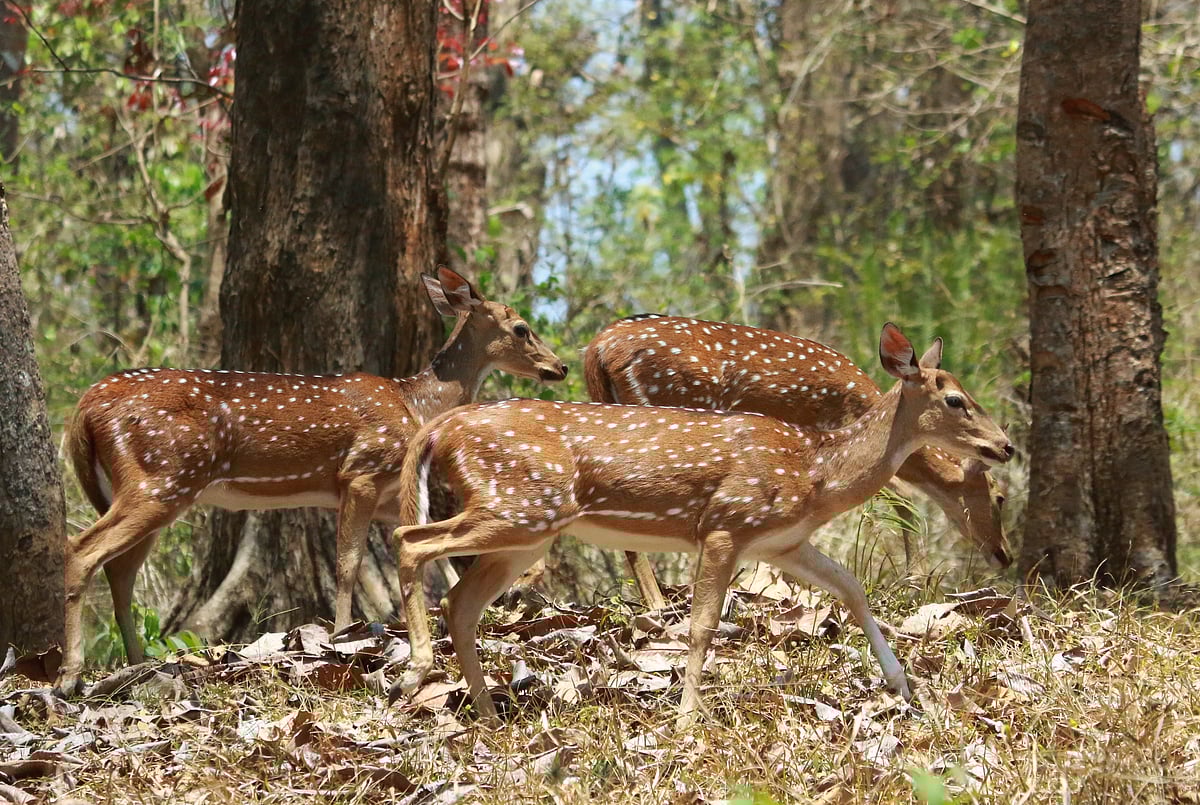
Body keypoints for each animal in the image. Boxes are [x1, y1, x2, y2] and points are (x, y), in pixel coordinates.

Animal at [54, 267, 567, 697]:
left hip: (146, 487)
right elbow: (348, 562)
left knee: (120, 570)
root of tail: (84, 407)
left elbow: (436, 557)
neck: (416, 405)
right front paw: (340, 635)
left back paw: (135, 664)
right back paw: (69, 677)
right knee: (81, 550)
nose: (559, 367)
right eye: (522, 328)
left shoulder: (385, 493)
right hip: (160, 477)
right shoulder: (360, 471)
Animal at [585, 314, 1010, 610]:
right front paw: (916, 582)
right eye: (1000, 495)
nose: (1004, 553)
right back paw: (658, 604)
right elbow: (901, 498)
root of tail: (598, 349)